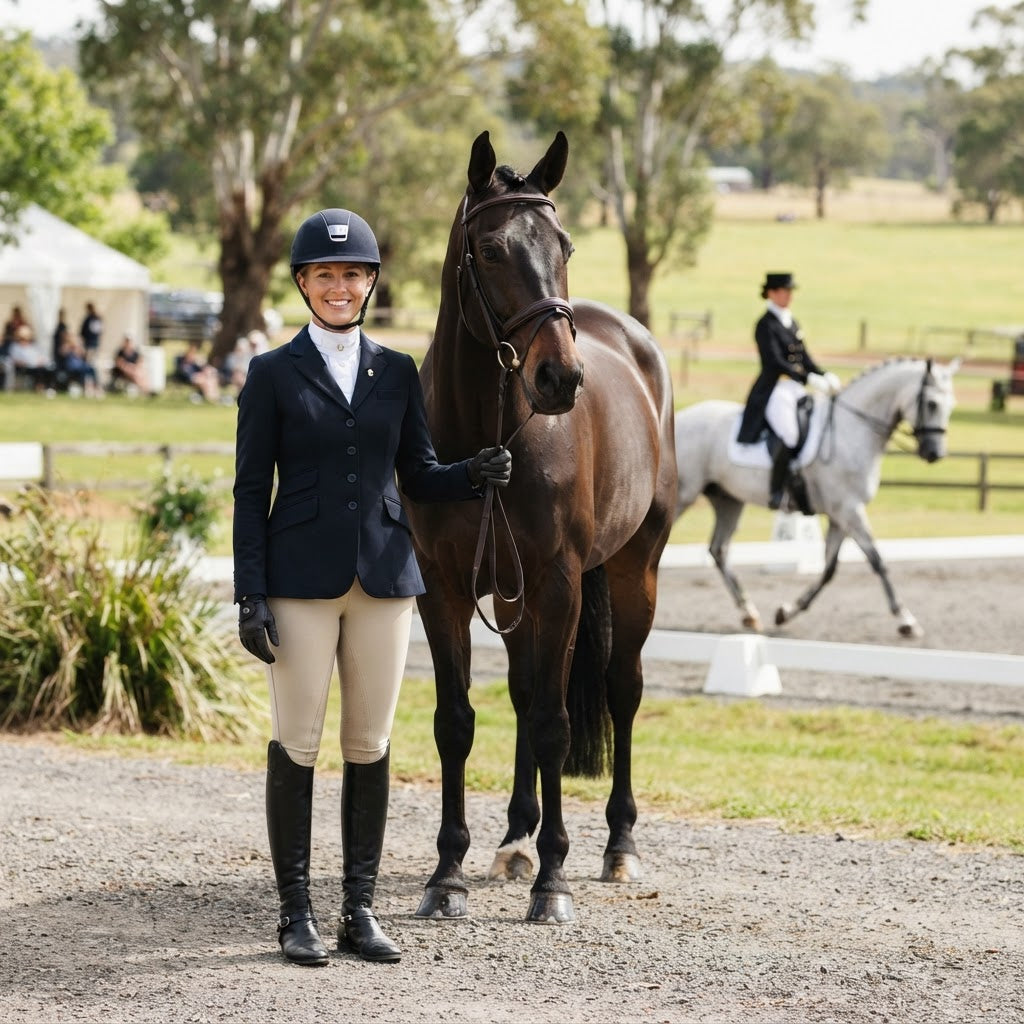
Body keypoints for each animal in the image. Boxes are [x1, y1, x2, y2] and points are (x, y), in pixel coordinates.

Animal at [404, 130, 677, 924]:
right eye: (491, 249)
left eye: (565, 244)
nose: (560, 378)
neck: (486, 437)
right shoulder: (443, 590)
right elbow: (458, 722)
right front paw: (448, 875)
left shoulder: (560, 586)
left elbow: (557, 725)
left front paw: (552, 882)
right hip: (512, 594)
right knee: (527, 693)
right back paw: (515, 839)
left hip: (633, 572)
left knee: (621, 689)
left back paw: (618, 847)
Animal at [674, 357, 959, 638]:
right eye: (932, 403)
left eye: (951, 406)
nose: (935, 453)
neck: (851, 431)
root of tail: (676, 419)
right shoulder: (850, 510)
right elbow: (877, 561)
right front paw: (906, 620)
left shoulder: (841, 515)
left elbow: (829, 570)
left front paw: (787, 612)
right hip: (683, 496)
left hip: (728, 500)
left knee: (718, 550)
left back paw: (749, 614)